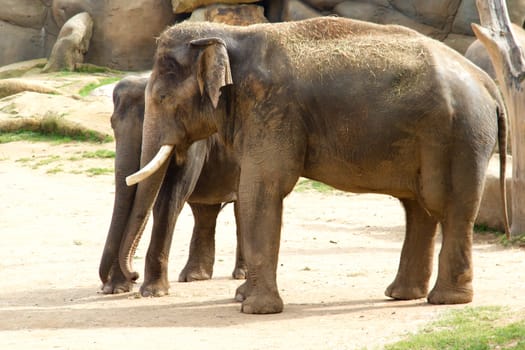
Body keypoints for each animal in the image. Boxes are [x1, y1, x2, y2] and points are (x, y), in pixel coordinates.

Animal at [98, 75, 246, 296]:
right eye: (112, 124)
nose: (134, 275)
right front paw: (116, 289)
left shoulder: (194, 140)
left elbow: (169, 199)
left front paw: (153, 292)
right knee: (204, 211)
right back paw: (194, 276)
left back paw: (240, 274)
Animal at [123, 17, 508, 314]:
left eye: (161, 98)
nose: (131, 279)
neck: (231, 34)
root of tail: (488, 84)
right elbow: (253, 192)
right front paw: (241, 298)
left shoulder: (273, 109)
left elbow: (261, 189)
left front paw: (254, 309)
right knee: (419, 208)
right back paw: (402, 294)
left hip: (460, 136)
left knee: (449, 206)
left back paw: (447, 301)